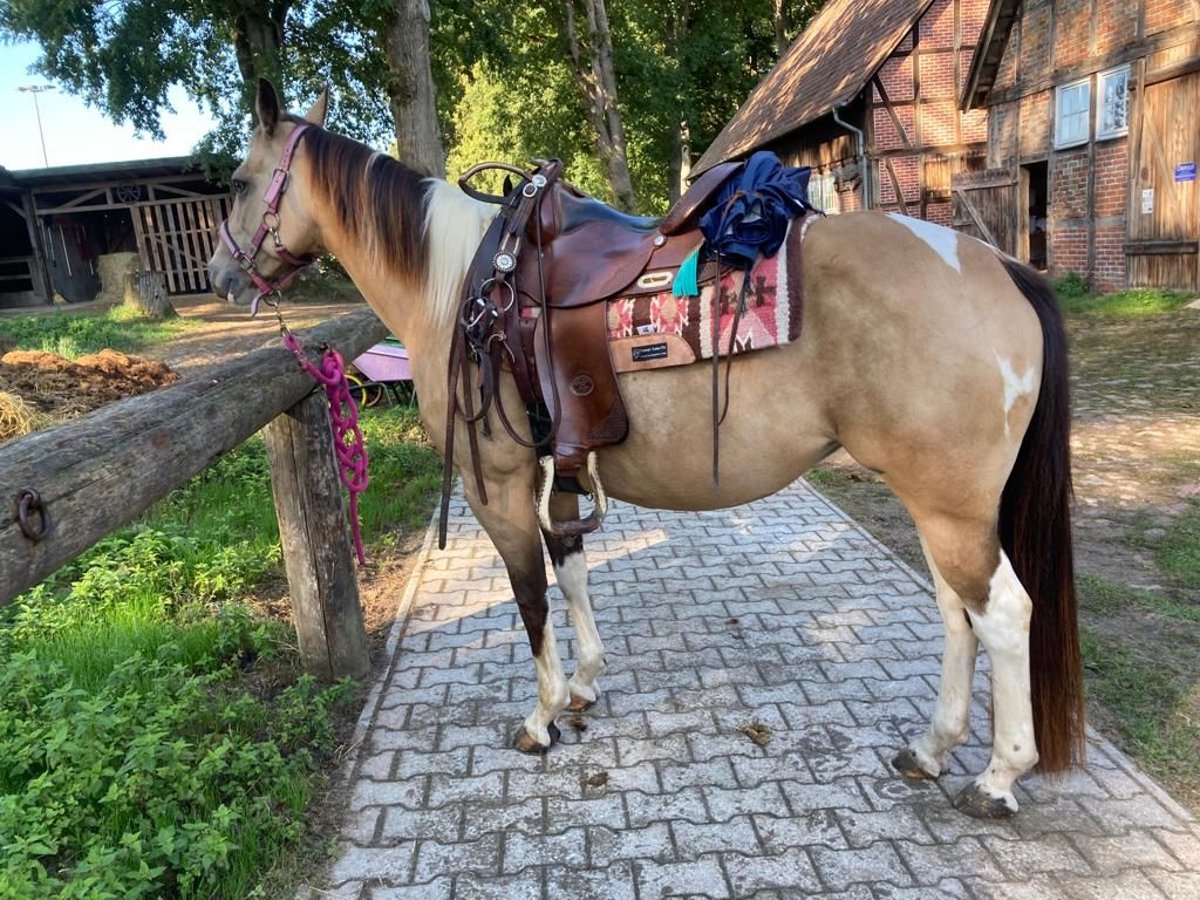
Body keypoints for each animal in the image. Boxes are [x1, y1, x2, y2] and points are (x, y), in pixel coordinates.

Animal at [208, 82, 1089, 816]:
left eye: (242, 182)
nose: (221, 274)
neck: (460, 286)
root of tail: (998, 266)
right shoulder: (557, 470)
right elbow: (571, 571)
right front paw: (586, 685)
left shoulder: (498, 485)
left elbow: (530, 598)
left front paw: (541, 716)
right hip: (937, 502)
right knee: (954, 613)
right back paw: (931, 748)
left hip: (951, 506)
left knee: (1002, 615)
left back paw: (998, 776)